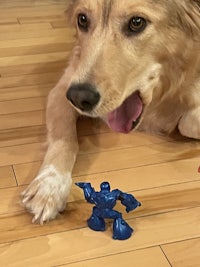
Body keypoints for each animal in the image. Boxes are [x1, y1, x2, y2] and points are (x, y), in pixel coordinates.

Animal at [21, 0, 199, 224]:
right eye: (82, 19)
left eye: (137, 22)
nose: (79, 98)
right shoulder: (64, 88)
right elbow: (65, 139)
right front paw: (49, 186)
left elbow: (189, 122)